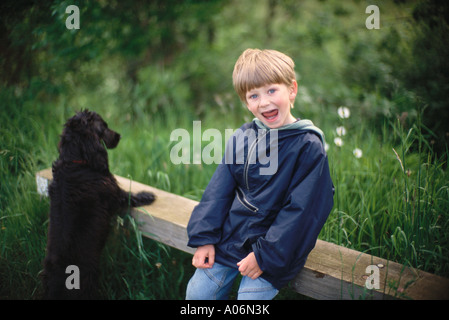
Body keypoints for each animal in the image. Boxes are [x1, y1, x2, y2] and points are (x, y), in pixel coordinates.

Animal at [42, 110, 154, 300]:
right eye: (104, 127)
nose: (119, 136)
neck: (75, 163)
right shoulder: (115, 194)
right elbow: (131, 196)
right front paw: (148, 195)